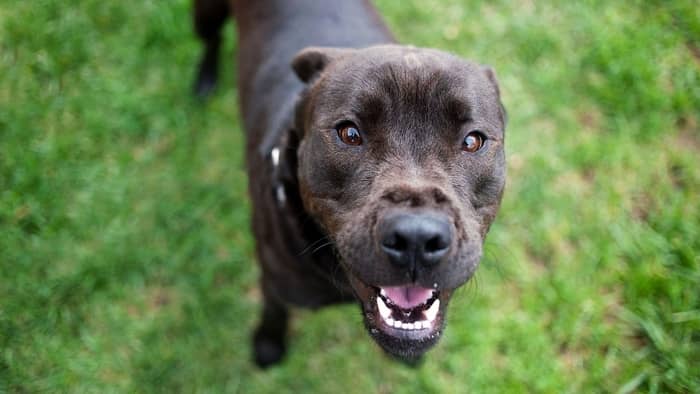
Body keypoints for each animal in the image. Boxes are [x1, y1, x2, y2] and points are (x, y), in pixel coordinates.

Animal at [194, 0, 506, 370]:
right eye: (349, 133)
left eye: (473, 141)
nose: (416, 238)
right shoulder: (274, 279)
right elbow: (274, 310)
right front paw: (268, 344)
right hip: (207, 14)